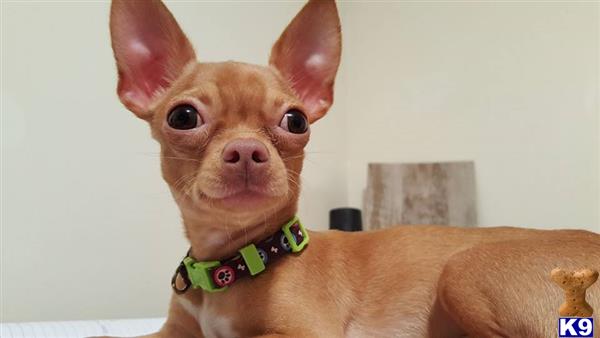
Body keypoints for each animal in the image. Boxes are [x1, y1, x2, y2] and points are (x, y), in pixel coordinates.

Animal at [109, 1, 600, 336]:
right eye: (183, 117)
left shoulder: (304, 332)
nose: (247, 150)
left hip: (465, 268)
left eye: (296, 121)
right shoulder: (171, 332)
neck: (238, 261)